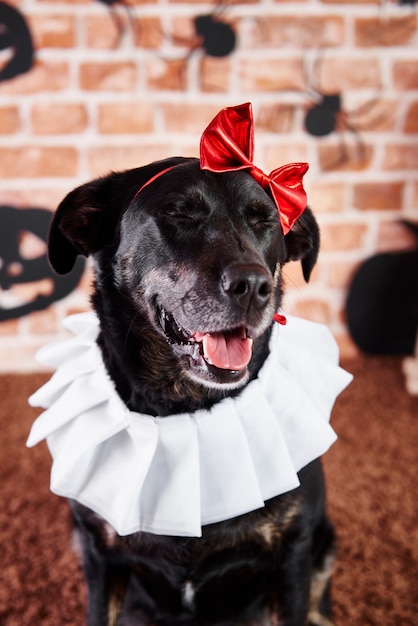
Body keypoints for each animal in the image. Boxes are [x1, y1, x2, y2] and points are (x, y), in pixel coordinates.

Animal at [42, 109, 338, 620]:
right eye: (179, 214)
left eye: (265, 222)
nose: (253, 286)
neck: (186, 406)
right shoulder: (100, 556)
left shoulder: (294, 554)